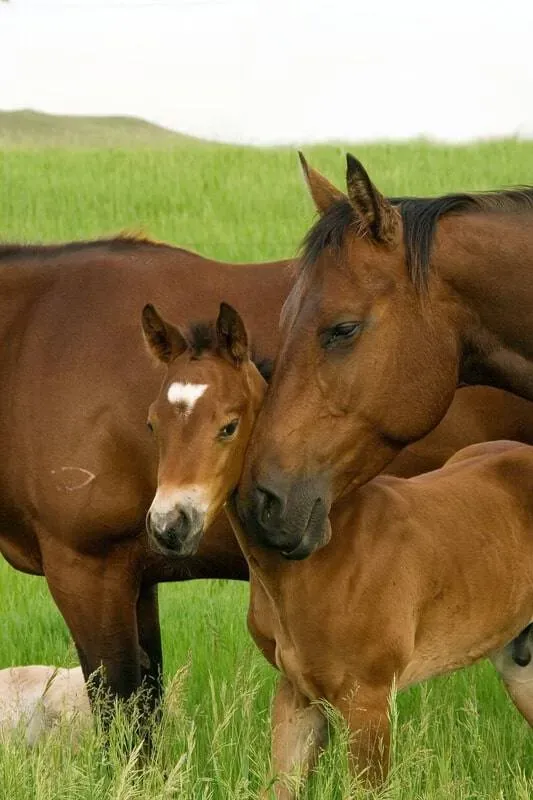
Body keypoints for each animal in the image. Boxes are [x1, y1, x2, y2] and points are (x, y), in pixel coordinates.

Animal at [142, 303, 533, 797]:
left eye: (228, 426)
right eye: (152, 424)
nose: (169, 526)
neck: (319, 559)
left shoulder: (368, 702)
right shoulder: (297, 696)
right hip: (520, 662)